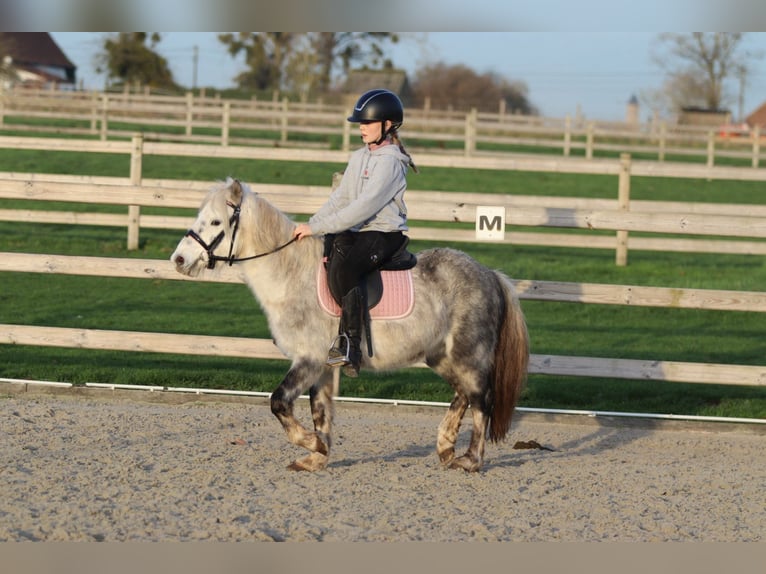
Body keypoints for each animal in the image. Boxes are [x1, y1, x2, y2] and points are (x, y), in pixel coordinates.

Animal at [170, 178, 529, 472]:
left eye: (215, 221)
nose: (179, 260)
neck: (291, 274)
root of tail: (489, 274)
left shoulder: (308, 359)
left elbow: (279, 402)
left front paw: (312, 445)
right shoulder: (320, 366)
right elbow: (320, 410)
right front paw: (315, 457)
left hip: (470, 355)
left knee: (481, 401)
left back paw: (471, 460)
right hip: (441, 357)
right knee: (464, 394)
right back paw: (445, 447)